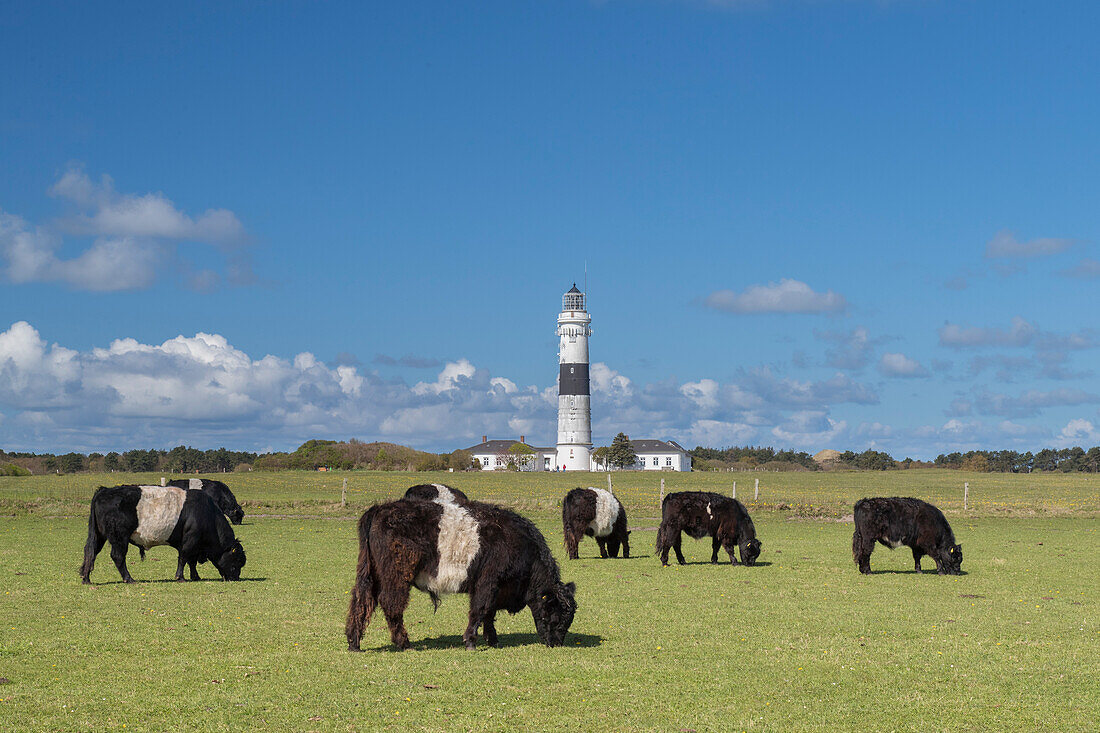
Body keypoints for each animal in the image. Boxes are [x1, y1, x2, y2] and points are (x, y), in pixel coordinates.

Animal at [79, 484, 247, 581]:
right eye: (238, 560)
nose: (236, 578)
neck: (206, 513)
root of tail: (104, 490)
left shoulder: (194, 544)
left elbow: (191, 561)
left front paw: (195, 577)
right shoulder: (190, 540)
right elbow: (184, 558)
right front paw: (180, 577)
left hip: (99, 536)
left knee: (90, 552)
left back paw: (86, 578)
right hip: (119, 537)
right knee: (117, 556)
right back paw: (129, 578)